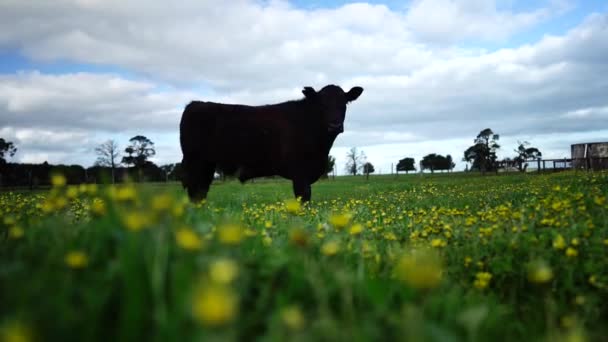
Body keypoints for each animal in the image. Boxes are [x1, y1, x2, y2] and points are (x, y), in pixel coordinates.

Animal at [178, 84, 364, 202]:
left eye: (344, 103)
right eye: (321, 104)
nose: (335, 125)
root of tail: (194, 104)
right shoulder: (300, 173)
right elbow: (304, 198)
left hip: (206, 165)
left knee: (200, 191)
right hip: (196, 162)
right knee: (195, 191)